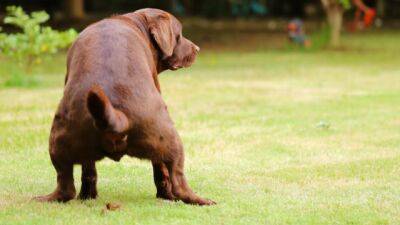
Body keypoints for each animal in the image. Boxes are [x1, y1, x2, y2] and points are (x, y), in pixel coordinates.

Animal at [35, 8, 216, 206]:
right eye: (179, 35)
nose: (197, 49)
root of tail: (117, 116)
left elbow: (88, 170)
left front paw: (87, 196)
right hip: (172, 139)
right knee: (176, 179)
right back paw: (197, 199)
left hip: (59, 140)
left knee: (67, 184)